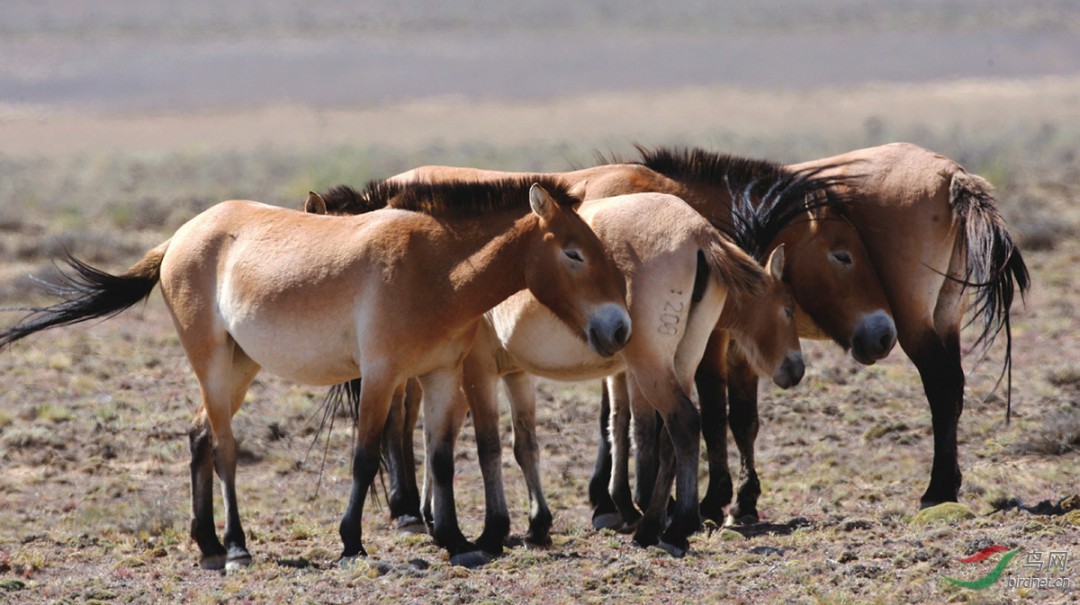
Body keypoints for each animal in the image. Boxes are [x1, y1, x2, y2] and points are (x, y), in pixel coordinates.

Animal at [0, 177, 630, 570]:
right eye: (573, 252)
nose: (619, 328)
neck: (437, 268)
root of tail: (179, 238)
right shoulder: (381, 375)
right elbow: (366, 456)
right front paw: (352, 542)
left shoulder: (440, 376)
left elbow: (443, 459)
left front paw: (457, 540)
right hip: (212, 361)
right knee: (224, 446)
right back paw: (236, 547)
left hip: (240, 363)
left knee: (199, 434)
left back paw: (206, 544)